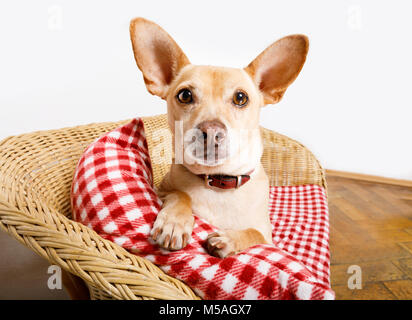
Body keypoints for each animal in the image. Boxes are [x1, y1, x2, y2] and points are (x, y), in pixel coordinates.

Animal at [130, 16, 308, 258]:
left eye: (241, 98)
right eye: (185, 95)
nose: (211, 130)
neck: (217, 181)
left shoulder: (267, 237)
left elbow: (254, 233)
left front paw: (229, 239)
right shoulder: (161, 189)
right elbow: (180, 195)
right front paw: (174, 222)